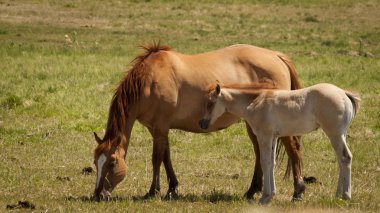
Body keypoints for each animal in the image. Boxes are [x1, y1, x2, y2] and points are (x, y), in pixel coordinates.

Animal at [92, 43, 306, 201]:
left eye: (112, 163)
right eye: (95, 162)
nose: (97, 195)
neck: (149, 81)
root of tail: (276, 56)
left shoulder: (160, 128)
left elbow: (156, 159)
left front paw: (153, 191)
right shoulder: (157, 129)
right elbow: (166, 157)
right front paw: (172, 188)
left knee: (293, 148)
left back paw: (298, 190)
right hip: (253, 123)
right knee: (260, 153)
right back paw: (252, 191)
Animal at [200, 82, 360, 204]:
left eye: (211, 103)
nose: (202, 123)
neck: (256, 101)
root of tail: (344, 93)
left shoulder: (264, 136)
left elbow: (265, 162)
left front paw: (264, 197)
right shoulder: (274, 137)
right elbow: (272, 163)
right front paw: (271, 195)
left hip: (334, 134)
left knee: (346, 157)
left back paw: (346, 195)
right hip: (340, 134)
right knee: (341, 160)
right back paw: (338, 195)